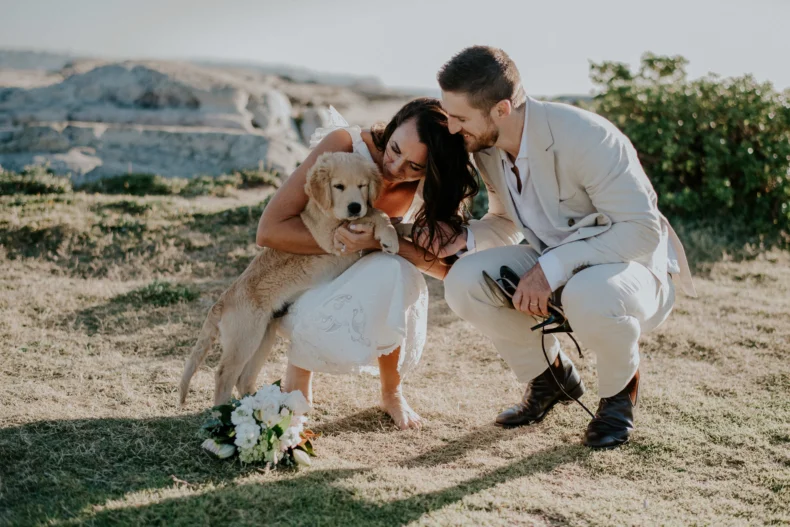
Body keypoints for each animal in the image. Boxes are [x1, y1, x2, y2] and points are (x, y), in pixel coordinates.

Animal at [179, 152, 400, 406]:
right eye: (339, 186)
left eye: (362, 186)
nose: (355, 207)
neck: (323, 210)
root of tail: (222, 301)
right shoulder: (332, 234)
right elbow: (374, 213)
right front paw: (390, 236)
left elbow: (375, 212)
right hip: (244, 339)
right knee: (224, 374)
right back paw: (223, 411)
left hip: (262, 337)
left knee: (243, 377)